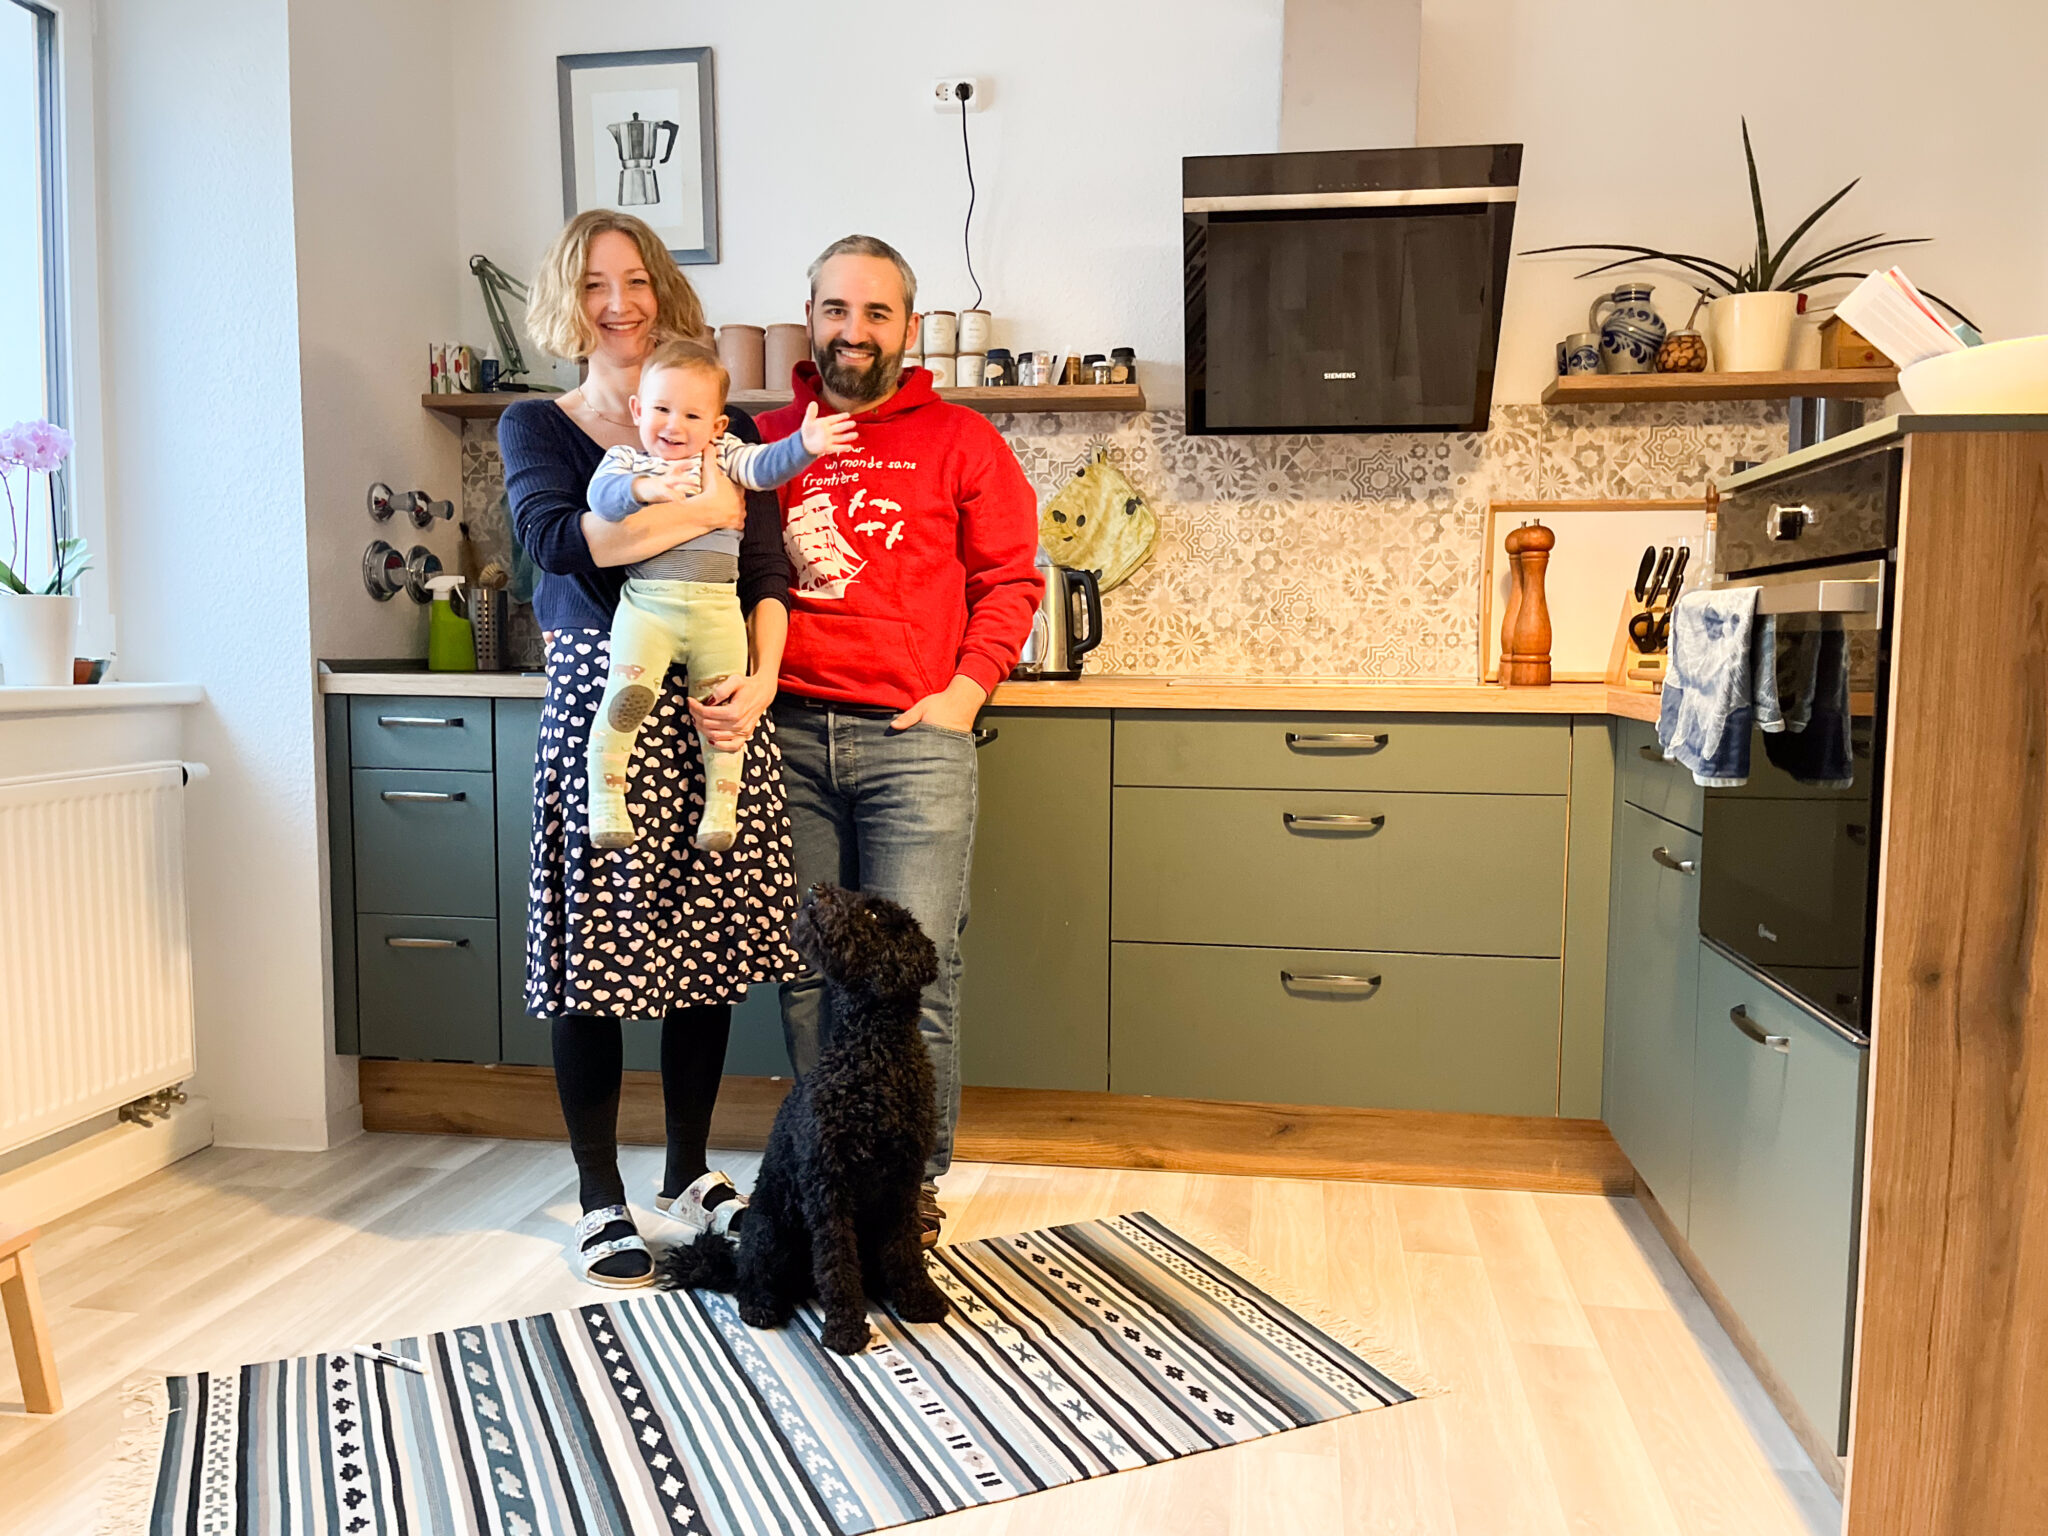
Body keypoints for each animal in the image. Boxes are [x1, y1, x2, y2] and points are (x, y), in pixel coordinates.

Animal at [660, 884, 951, 1354]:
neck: (872, 1057)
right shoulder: (828, 1187)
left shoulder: (903, 1179)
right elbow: (837, 1264)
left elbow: (905, 1248)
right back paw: (760, 1306)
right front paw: (846, 1329)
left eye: (874, 913)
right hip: (770, 1231)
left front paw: (919, 1299)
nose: (816, 890)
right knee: (752, 1278)